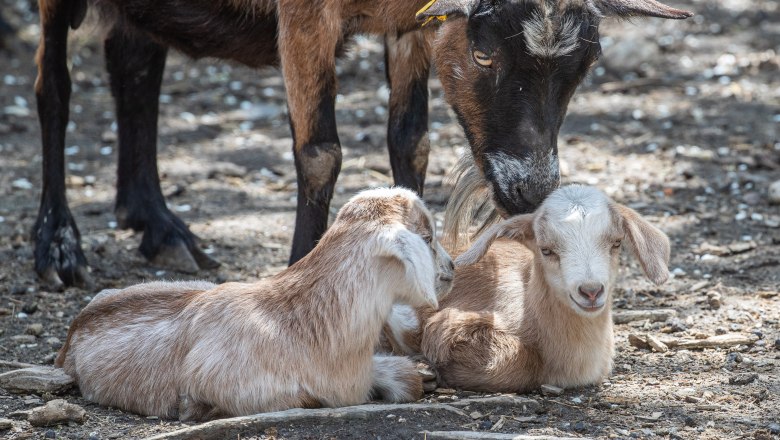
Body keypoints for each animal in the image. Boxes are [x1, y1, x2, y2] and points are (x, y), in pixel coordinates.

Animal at [33, 0, 691, 289]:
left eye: (588, 64)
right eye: (484, 53)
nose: (529, 191)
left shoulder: (410, 28)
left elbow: (411, 144)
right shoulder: (303, 17)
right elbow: (321, 152)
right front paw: (299, 271)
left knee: (134, 64)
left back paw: (158, 224)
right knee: (53, 89)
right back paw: (59, 246)